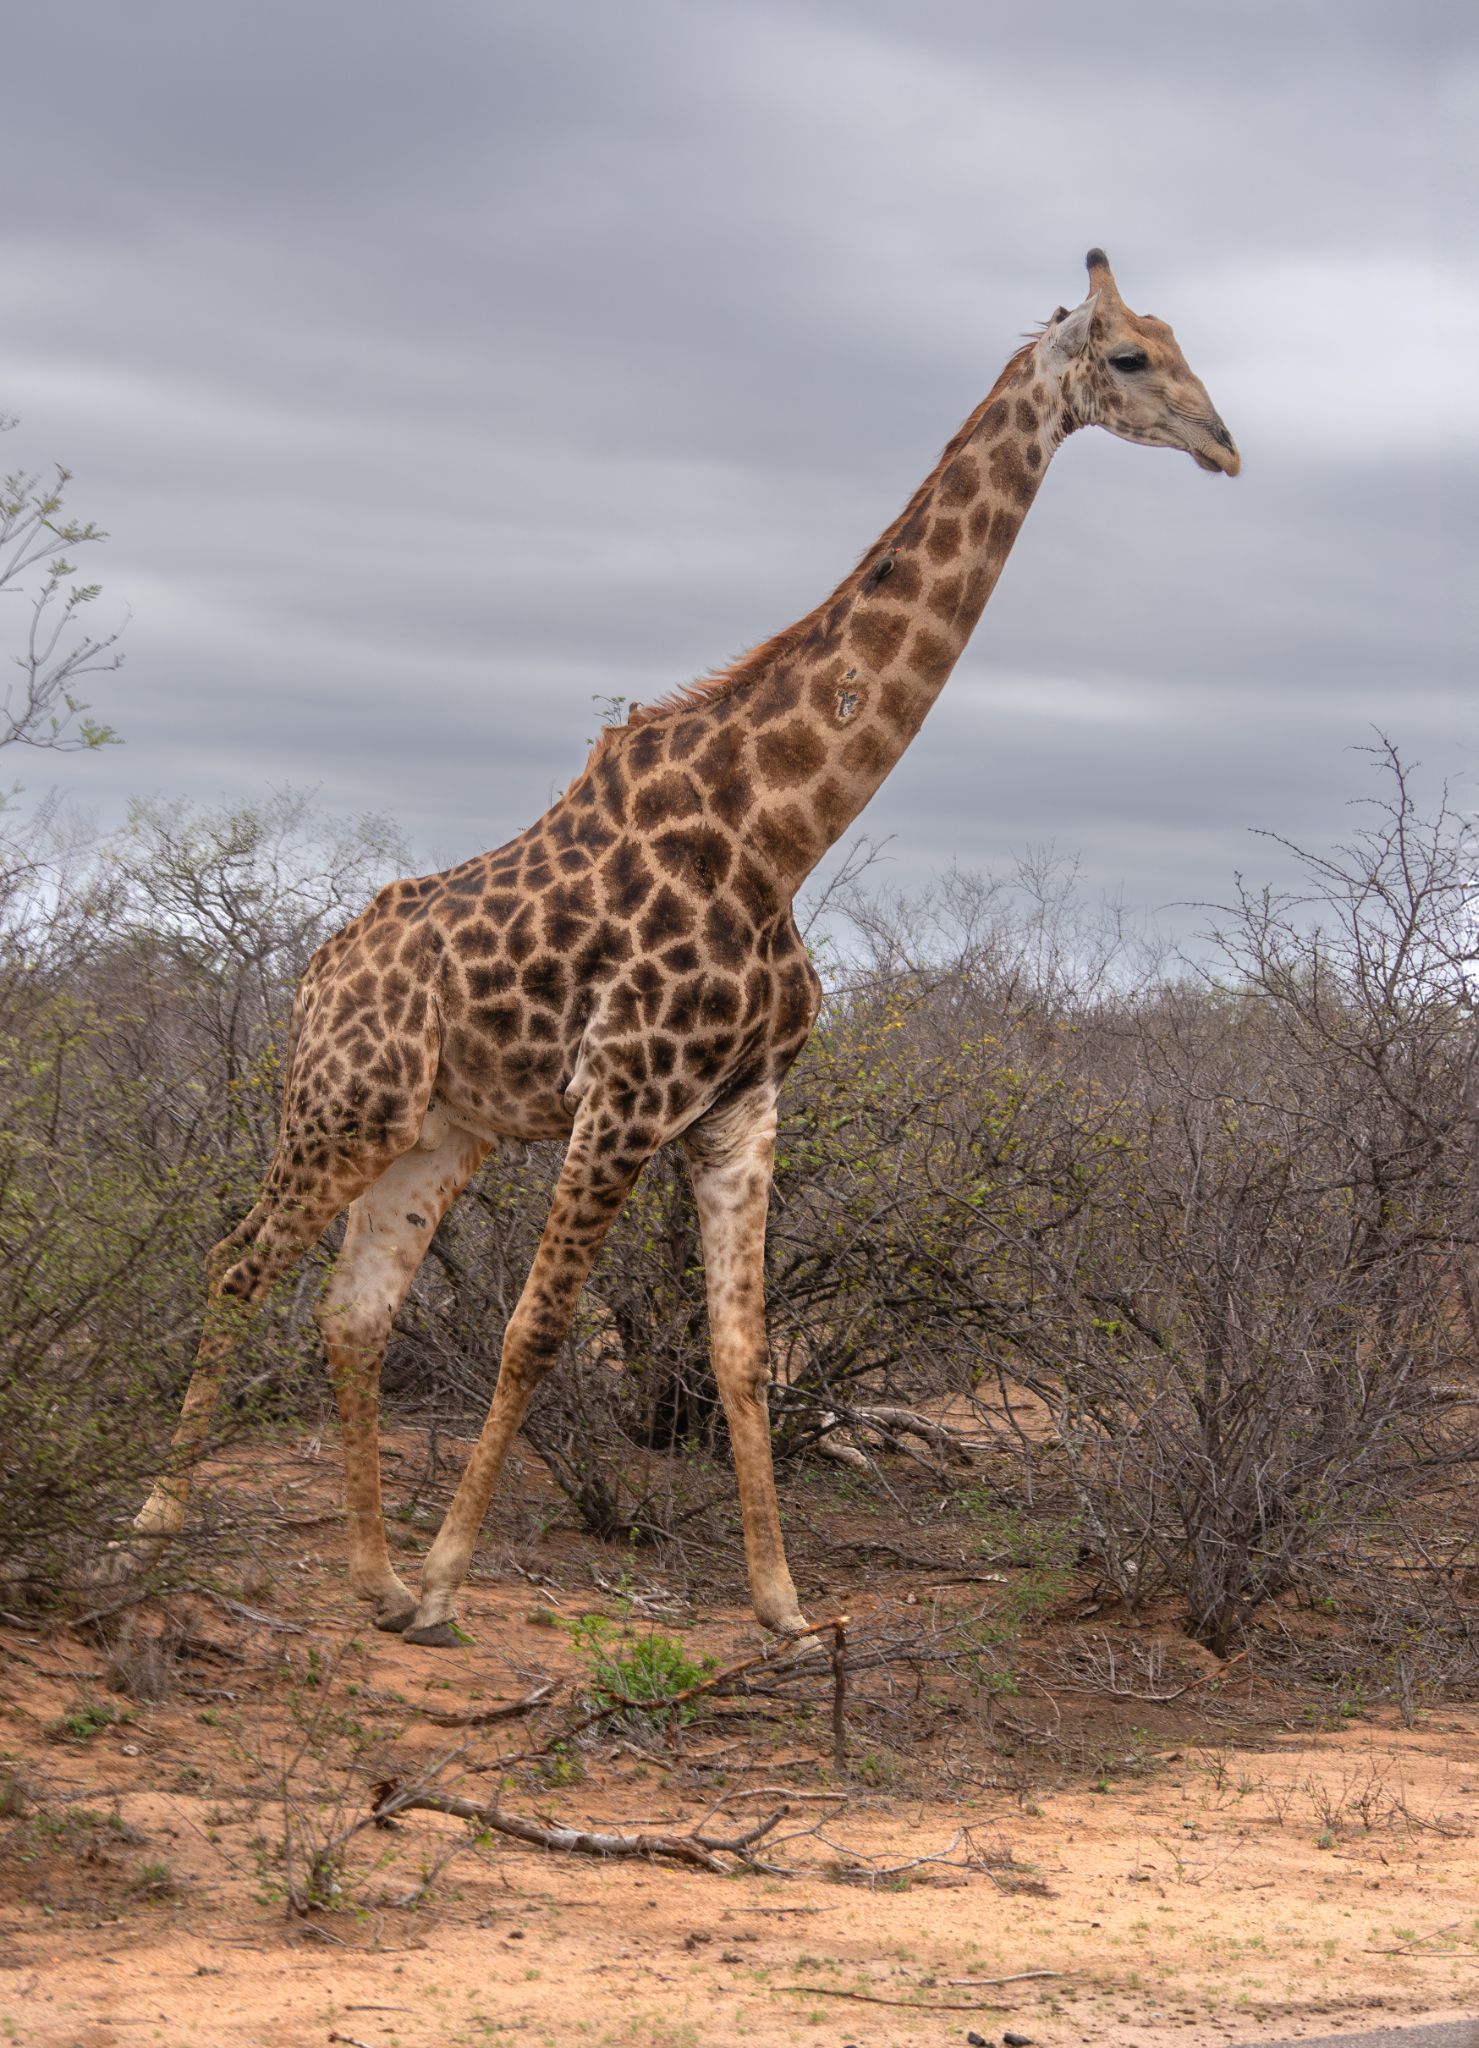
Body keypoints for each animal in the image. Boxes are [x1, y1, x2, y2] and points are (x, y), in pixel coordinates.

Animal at [127, 249, 1238, 1647]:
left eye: (1185, 346)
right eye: (1134, 356)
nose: (1225, 443)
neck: (776, 837)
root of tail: (315, 975)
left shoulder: (738, 1105)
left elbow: (741, 1351)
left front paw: (783, 1604)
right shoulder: (625, 1093)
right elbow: (537, 1327)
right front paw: (449, 1580)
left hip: (437, 1128)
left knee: (352, 1313)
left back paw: (368, 1576)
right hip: (344, 1105)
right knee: (237, 1261)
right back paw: (166, 1517)